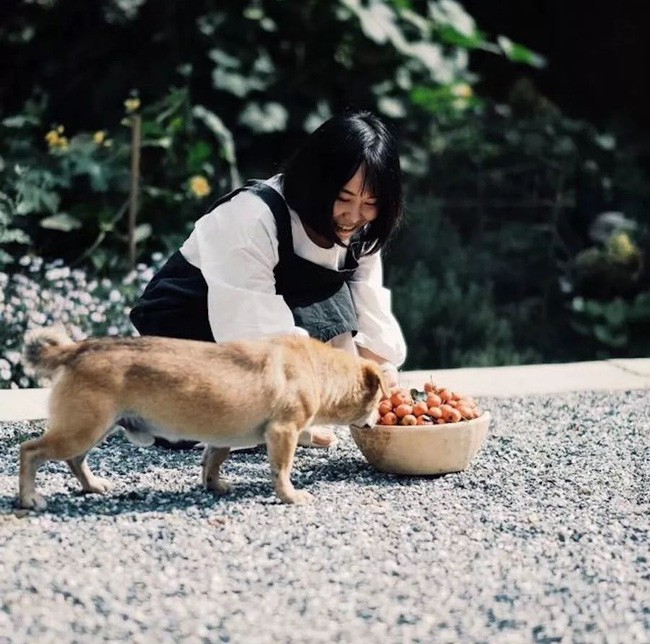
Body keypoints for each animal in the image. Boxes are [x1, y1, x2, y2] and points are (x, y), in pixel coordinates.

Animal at [19, 330, 384, 510]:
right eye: (380, 400)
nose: (376, 420)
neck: (320, 369)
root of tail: (78, 349)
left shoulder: (223, 439)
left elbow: (212, 461)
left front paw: (213, 485)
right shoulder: (284, 433)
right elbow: (281, 471)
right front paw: (289, 496)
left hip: (94, 430)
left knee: (75, 460)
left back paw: (92, 486)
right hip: (81, 430)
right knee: (31, 451)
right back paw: (29, 498)